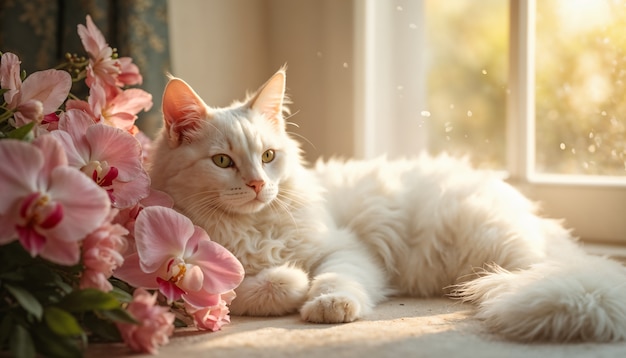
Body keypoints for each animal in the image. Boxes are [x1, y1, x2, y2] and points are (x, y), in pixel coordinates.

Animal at [149, 68, 624, 342]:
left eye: (268, 157)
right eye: (222, 162)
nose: (257, 184)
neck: (252, 227)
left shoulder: (344, 248)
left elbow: (335, 278)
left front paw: (327, 304)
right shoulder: (191, 287)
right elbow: (262, 285)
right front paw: (292, 284)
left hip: (494, 246)